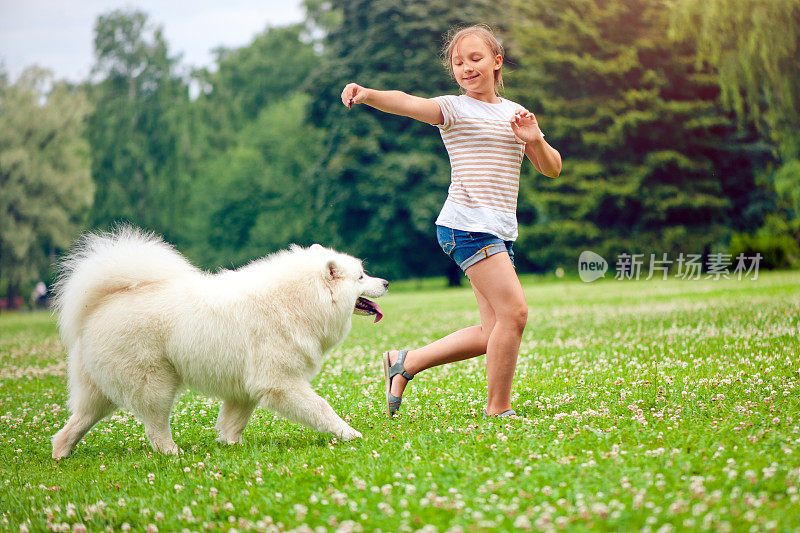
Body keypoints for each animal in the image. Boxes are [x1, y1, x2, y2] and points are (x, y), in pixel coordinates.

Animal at [50, 225, 388, 458]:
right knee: (155, 427)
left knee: (76, 422)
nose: (385, 282)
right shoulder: (280, 381)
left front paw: (231, 445)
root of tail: (102, 303)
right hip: (154, 383)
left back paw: (60, 454)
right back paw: (172, 452)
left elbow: (233, 421)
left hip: (100, 390)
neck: (299, 300)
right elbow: (321, 408)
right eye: (361, 277)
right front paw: (349, 433)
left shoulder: (246, 387)